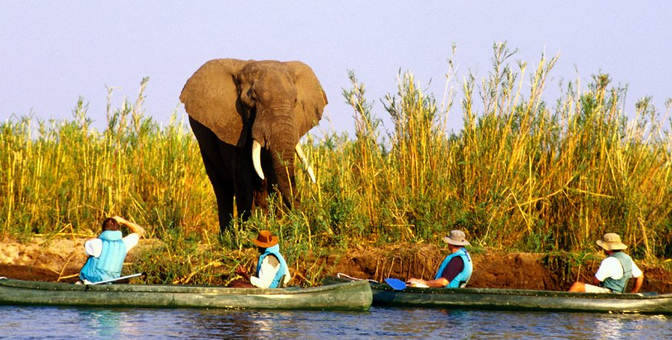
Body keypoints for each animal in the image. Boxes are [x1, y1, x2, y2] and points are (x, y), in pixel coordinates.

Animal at [178, 59, 326, 232]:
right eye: (253, 99)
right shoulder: (234, 126)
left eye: (295, 101)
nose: (303, 223)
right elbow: (243, 177)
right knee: (222, 188)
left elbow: (272, 176)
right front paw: (249, 232)